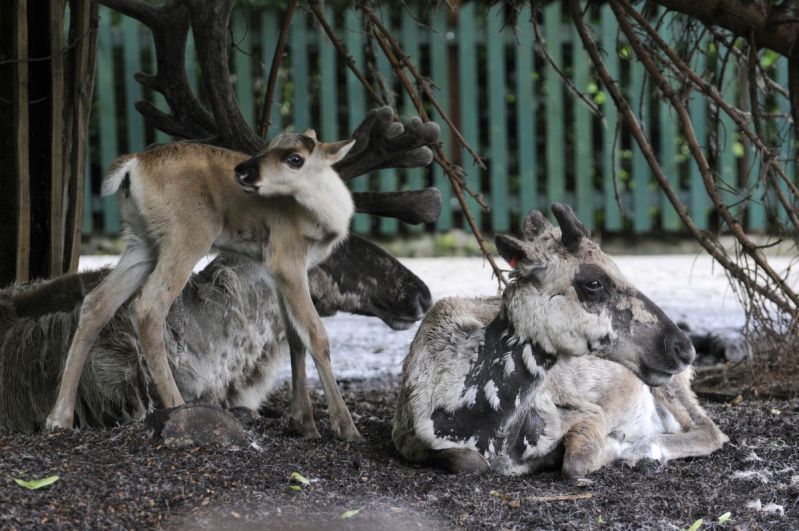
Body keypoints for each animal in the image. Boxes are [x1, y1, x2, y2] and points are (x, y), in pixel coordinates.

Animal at [46, 132, 360, 440]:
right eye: (268, 145)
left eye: (295, 158)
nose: (242, 170)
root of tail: (132, 165)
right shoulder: (287, 260)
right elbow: (315, 335)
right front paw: (345, 427)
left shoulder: (279, 271)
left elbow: (294, 338)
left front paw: (303, 423)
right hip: (188, 235)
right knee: (147, 307)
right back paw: (178, 407)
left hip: (141, 241)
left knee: (96, 303)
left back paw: (59, 418)